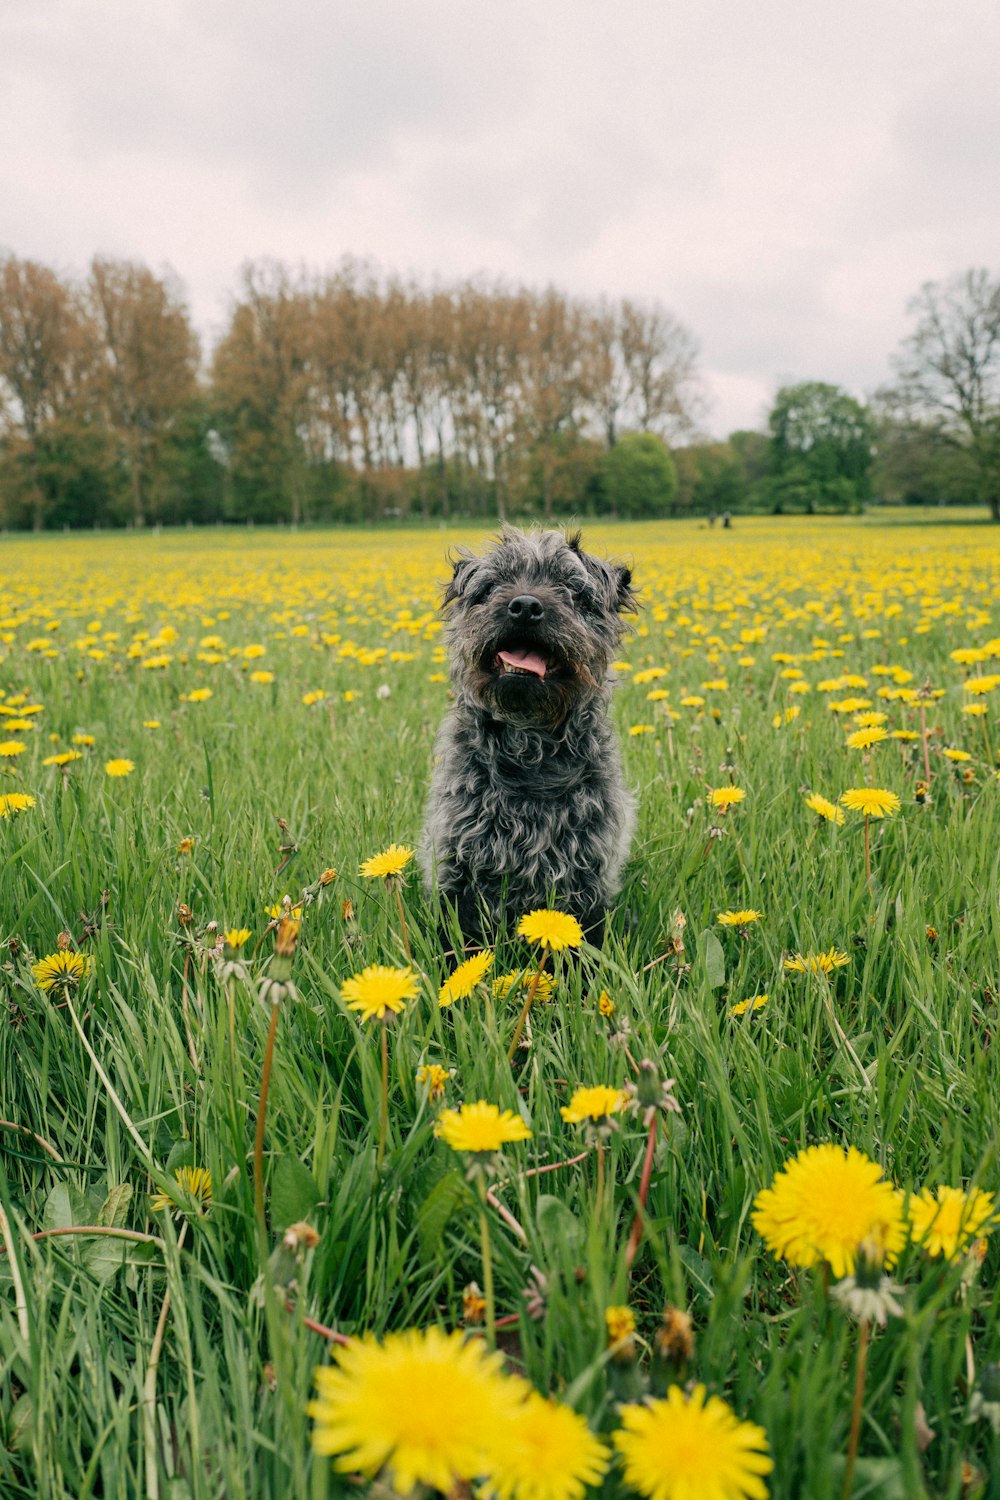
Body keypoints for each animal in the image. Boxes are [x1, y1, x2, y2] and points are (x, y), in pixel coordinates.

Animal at [419, 528, 638, 942]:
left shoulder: (587, 881)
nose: (524, 606)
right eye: (491, 587)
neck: (529, 755)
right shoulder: (458, 874)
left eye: (571, 589)